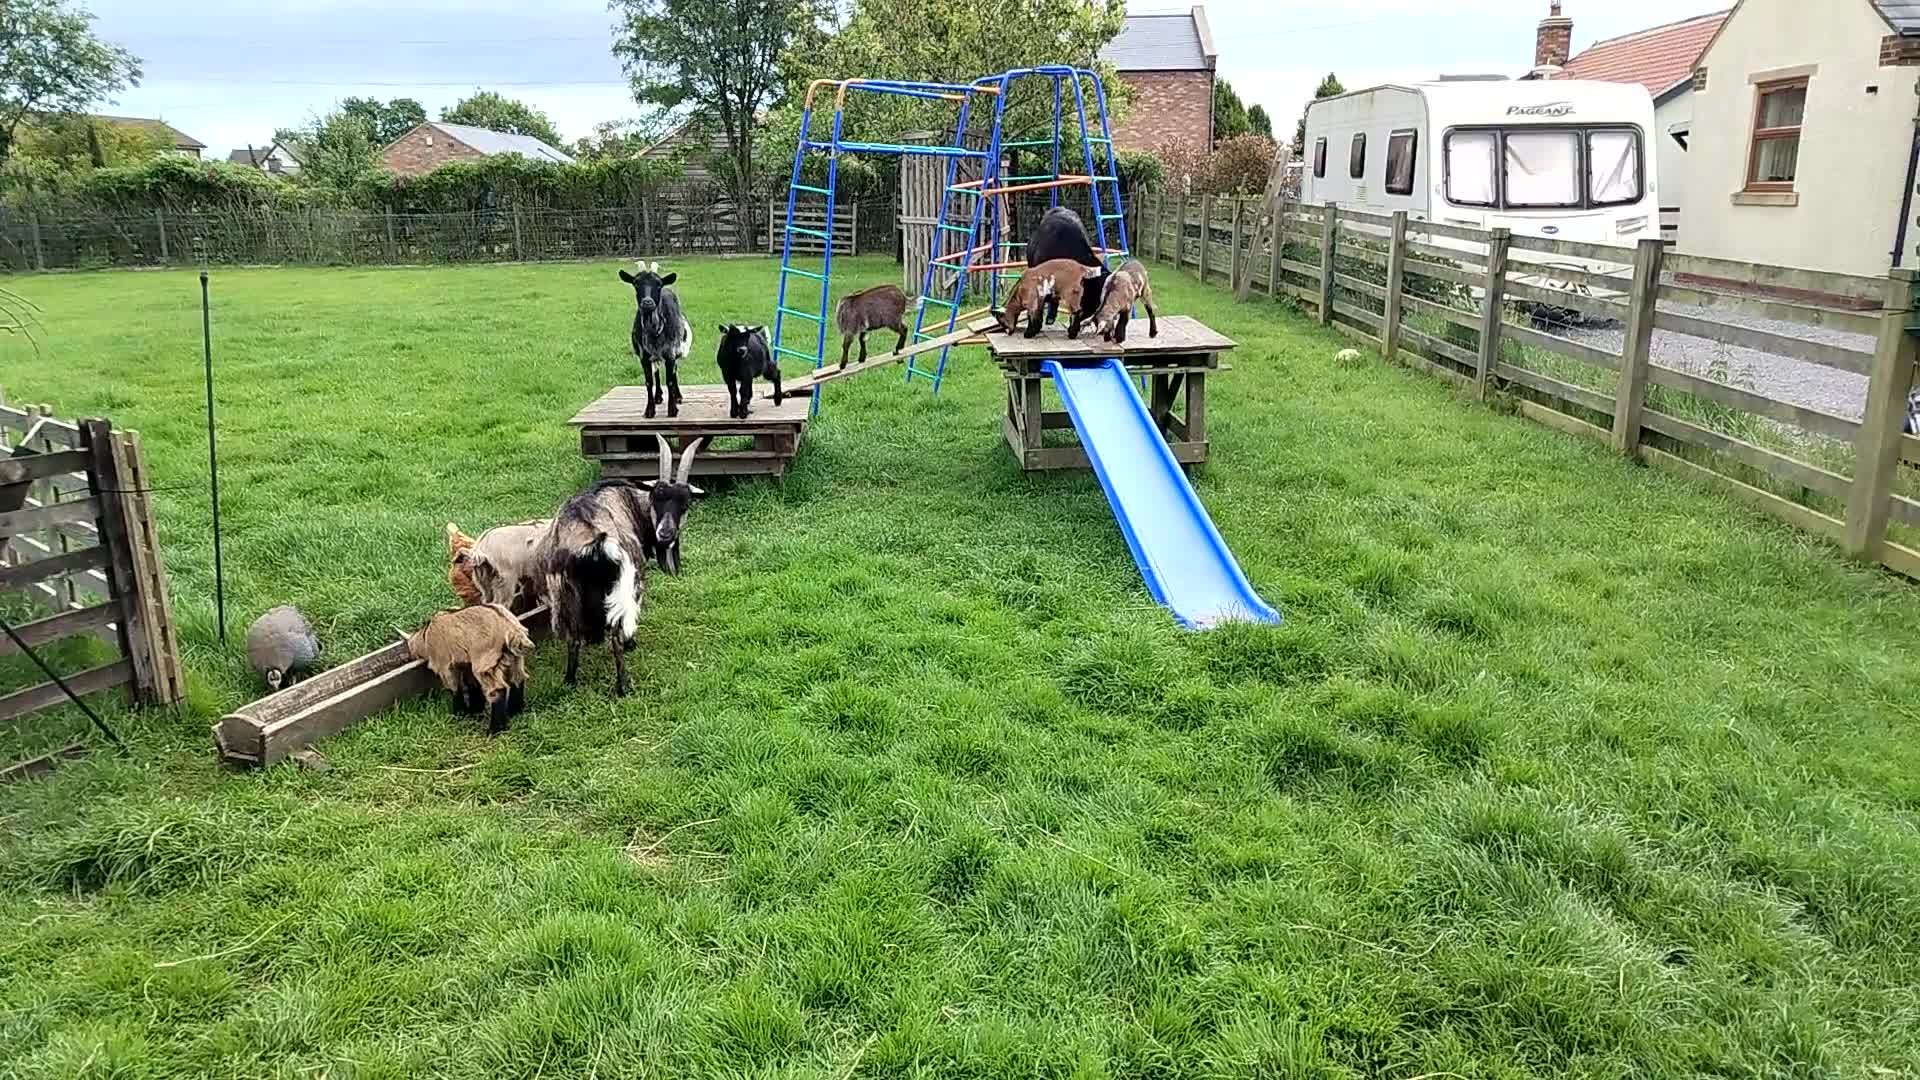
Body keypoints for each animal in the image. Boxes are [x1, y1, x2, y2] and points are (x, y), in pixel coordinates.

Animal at [403, 604, 533, 734]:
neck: (426, 635)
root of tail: (512, 630)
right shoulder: (466, 662)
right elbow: (472, 684)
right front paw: (474, 710)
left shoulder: (444, 665)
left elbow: (454, 688)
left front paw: (459, 714)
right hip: (514, 658)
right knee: (518, 679)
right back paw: (514, 711)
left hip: (485, 663)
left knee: (497, 690)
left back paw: (494, 730)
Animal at [540, 479, 653, 696]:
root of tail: (596, 544)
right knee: (615, 638)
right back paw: (622, 685)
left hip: (565, 596)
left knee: (574, 639)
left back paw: (570, 680)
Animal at [619, 261, 693, 419]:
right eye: (636, 283)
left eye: (658, 284)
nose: (647, 302)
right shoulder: (644, 356)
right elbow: (649, 381)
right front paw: (649, 410)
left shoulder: (671, 352)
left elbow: (670, 380)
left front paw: (672, 409)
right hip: (654, 356)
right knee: (657, 372)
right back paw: (658, 396)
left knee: (674, 372)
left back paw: (678, 397)